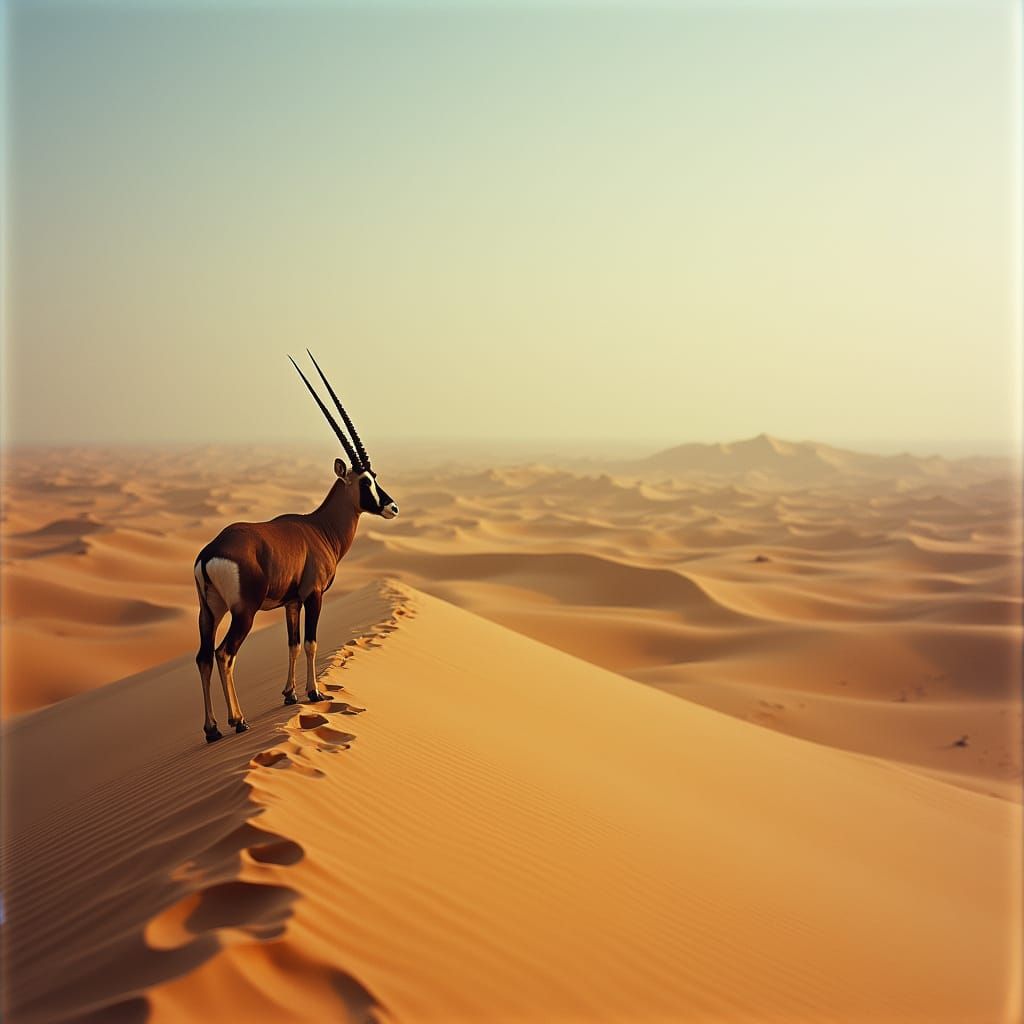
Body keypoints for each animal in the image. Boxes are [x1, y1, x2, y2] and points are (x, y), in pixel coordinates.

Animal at [192, 351, 399, 743]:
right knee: (225, 654)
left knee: (203, 657)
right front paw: (314, 692)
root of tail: (211, 552)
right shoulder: (313, 595)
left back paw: (211, 729)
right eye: (364, 480)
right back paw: (238, 720)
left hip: (209, 611)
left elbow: (291, 642)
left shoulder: (290, 602)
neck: (319, 527)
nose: (392, 507)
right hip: (243, 612)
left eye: (375, 476)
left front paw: (289, 695)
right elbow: (311, 641)